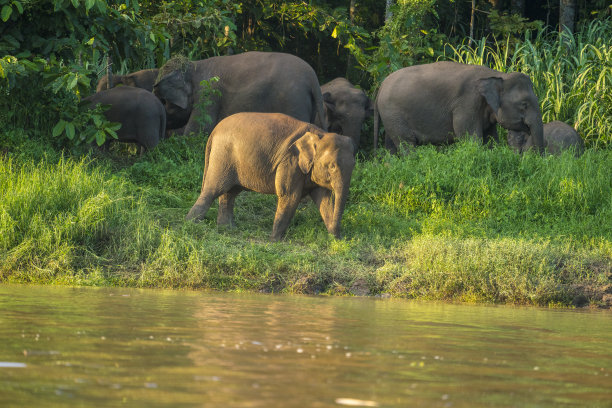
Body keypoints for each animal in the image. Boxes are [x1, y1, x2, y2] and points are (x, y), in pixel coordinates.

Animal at [152, 51, 328, 135]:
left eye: (165, 102)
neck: (194, 66)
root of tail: (312, 77)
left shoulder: (207, 93)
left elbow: (199, 129)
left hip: (293, 100)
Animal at [185, 111, 354, 241]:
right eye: (332, 166)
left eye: (353, 166)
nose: (341, 237)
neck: (320, 134)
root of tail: (214, 131)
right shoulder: (290, 162)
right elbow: (289, 196)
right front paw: (274, 241)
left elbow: (324, 200)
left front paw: (335, 240)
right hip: (222, 157)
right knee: (213, 190)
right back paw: (192, 225)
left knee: (230, 193)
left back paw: (227, 228)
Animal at [372, 61, 544, 155]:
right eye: (524, 104)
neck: (498, 75)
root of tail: (381, 86)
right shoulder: (467, 104)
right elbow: (471, 138)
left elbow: (490, 139)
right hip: (393, 113)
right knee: (406, 143)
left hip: (390, 117)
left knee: (391, 146)